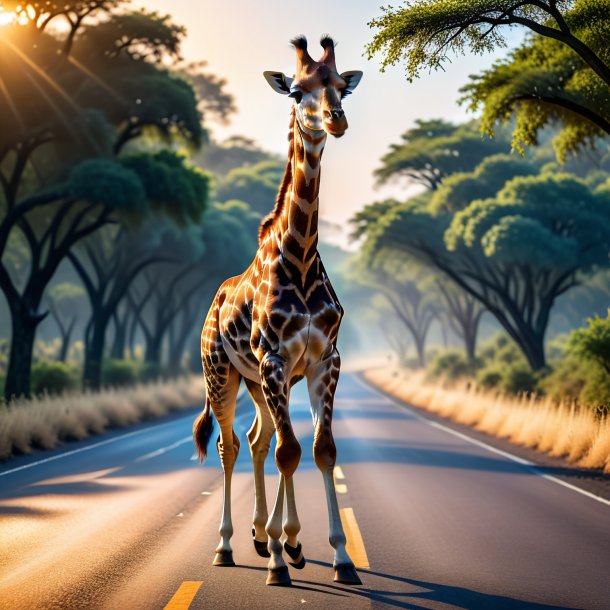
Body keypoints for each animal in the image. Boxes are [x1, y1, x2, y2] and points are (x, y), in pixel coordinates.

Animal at [192, 34, 358, 584]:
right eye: (296, 91)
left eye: (340, 85)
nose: (335, 118)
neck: (300, 257)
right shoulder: (275, 359)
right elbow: (291, 451)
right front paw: (281, 565)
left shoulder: (324, 359)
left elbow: (320, 450)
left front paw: (338, 557)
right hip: (222, 374)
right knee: (231, 444)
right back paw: (229, 546)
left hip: (259, 382)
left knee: (259, 438)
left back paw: (270, 538)